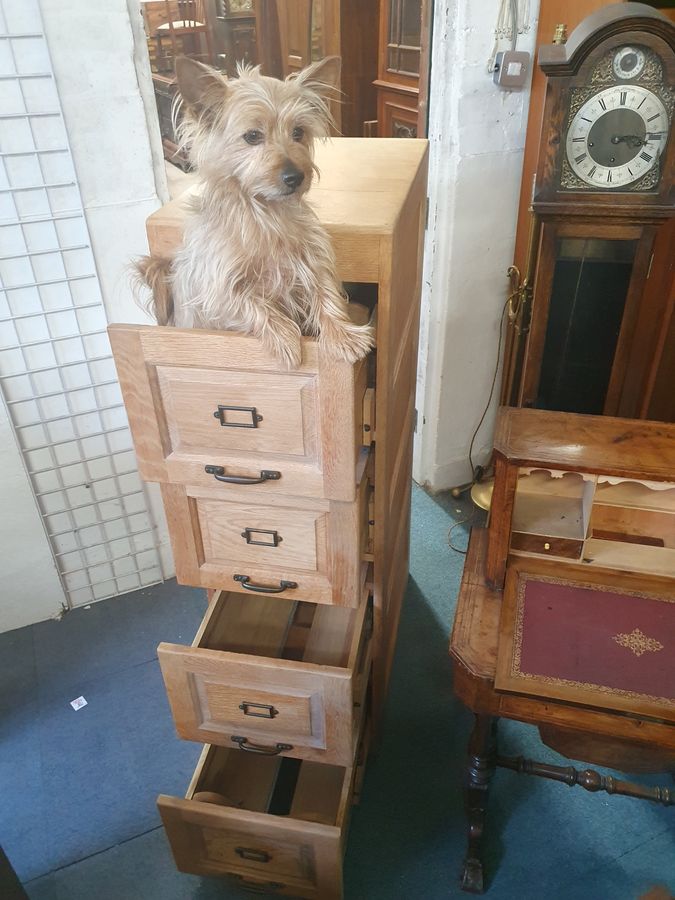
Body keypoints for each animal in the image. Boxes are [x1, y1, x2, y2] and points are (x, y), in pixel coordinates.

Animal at [134, 56, 372, 368]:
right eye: (252, 136)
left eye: (298, 132)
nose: (296, 177)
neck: (264, 213)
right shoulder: (217, 289)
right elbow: (253, 303)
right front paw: (286, 340)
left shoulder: (312, 260)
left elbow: (325, 292)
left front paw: (344, 335)